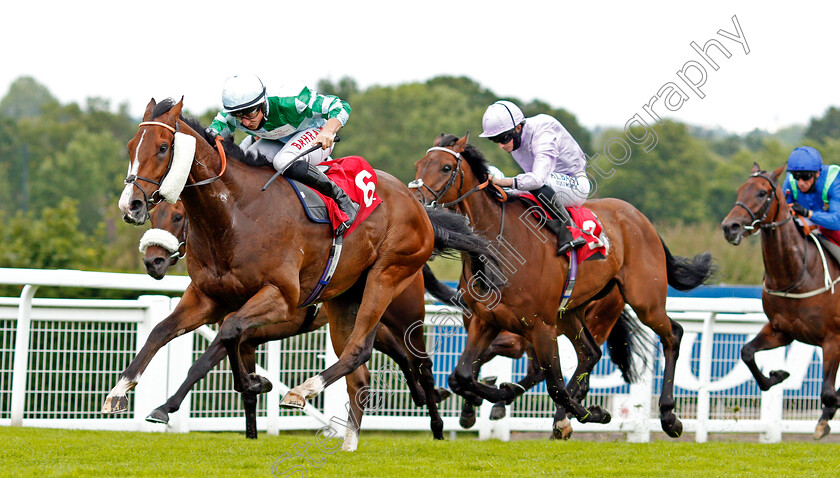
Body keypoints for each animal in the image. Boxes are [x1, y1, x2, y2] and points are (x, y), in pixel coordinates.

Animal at [141, 198, 460, 436]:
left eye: (178, 217)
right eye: (154, 215)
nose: (153, 261)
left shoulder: (236, 333)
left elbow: (199, 367)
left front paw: (164, 408)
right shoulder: (247, 342)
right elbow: (247, 393)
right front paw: (252, 429)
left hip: (401, 315)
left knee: (420, 362)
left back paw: (436, 423)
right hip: (369, 322)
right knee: (397, 358)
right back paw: (419, 399)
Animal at [410, 134, 712, 436]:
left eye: (446, 167)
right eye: (418, 164)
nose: (417, 202)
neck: (499, 245)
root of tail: (642, 219)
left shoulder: (540, 326)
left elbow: (553, 384)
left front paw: (590, 414)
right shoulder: (485, 321)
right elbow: (461, 375)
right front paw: (499, 395)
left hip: (644, 301)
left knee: (673, 335)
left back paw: (668, 416)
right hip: (570, 312)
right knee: (590, 353)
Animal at [720, 162, 840, 438]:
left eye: (762, 193)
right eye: (740, 189)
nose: (730, 227)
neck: (796, 275)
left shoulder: (833, 339)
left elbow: (828, 393)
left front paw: (825, 419)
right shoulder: (781, 330)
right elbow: (747, 352)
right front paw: (777, 374)